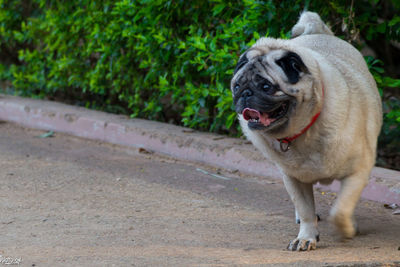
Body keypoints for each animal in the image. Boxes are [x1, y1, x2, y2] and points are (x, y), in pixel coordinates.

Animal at [233, 11, 382, 252]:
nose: (245, 93)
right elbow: (305, 210)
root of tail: (318, 32)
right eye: (236, 86)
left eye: (266, 87)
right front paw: (306, 237)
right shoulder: (293, 177)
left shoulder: (358, 171)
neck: (302, 132)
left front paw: (346, 229)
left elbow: (341, 208)